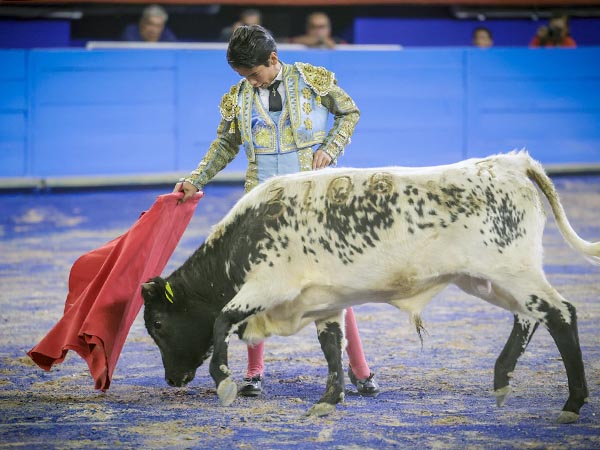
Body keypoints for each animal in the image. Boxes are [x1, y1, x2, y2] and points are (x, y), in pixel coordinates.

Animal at [143, 151, 596, 422]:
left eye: (159, 325)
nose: (172, 380)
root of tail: (510, 163)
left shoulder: (267, 286)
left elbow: (222, 320)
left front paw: (223, 382)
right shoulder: (323, 301)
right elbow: (331, 346)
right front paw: (330, 399)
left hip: (514, 272)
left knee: (561, 314)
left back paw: (572, 404)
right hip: (487, 280)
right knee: (528, 317)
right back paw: (502, 381)